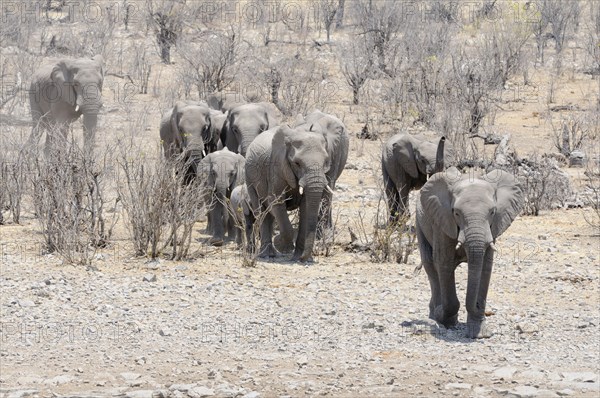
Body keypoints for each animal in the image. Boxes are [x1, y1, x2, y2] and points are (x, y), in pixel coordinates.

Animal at [245, 124, 332, 262]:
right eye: (297, 163)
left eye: (325, 162)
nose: (304, 258)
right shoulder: (277, 167)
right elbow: (276, 202)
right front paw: (282, 246)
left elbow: (306, 207)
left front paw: (299, 258)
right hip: (249, 177)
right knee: (261, 210)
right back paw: (267, 255)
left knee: (269, 214)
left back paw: (272, 254)